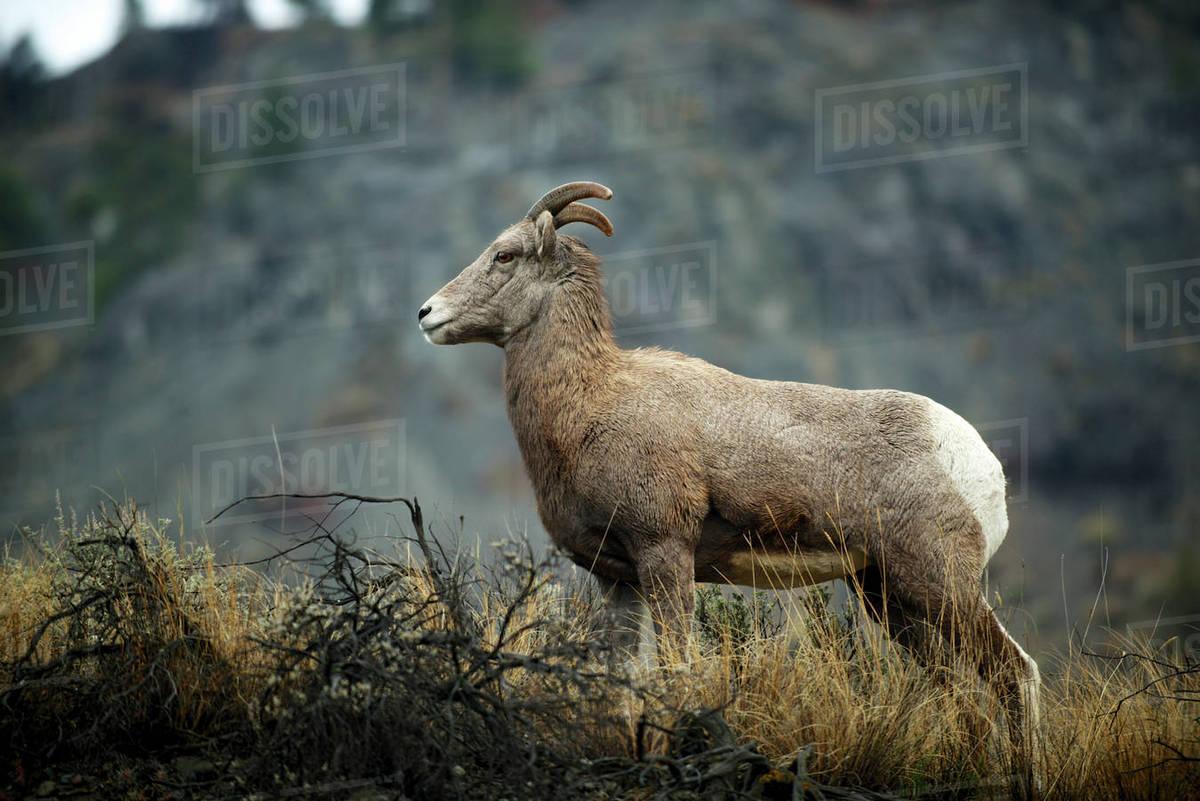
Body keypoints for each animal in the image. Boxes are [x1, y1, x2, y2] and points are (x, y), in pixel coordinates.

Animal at [417, 181, 1041, 767]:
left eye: (504, 255)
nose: (426, 314)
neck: (588, 405)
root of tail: (980, 465)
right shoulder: (617, 580)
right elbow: (617, 685)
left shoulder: (664, 554)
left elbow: (677, 672)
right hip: (889, 598)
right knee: (962, 693)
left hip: (941, 587)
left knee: (1015, 673)